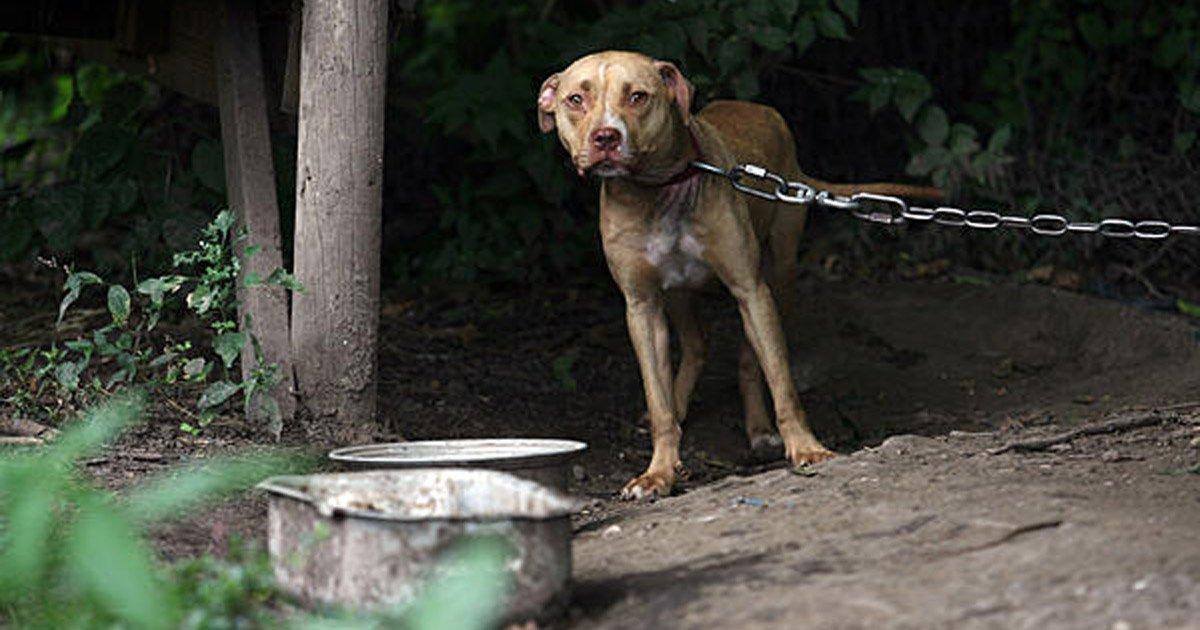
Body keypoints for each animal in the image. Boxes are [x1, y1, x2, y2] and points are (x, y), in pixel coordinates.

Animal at [540, 51, 940, 499]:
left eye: (638, 96)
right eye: (576, 99)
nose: (606, 137)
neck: (659, 191)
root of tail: (762, 110)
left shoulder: (750, 288)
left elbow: (782, 383)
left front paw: (806, 448)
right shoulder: (641, 307)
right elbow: (658, 400)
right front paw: (658, 471)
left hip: (777, 277)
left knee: (750, 359)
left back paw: (761, 431)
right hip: (678, 295)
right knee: (697, 343)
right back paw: (681, 406)